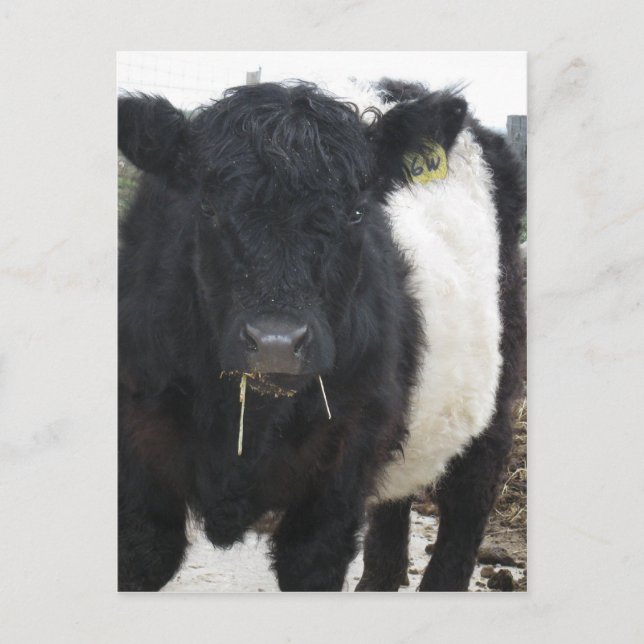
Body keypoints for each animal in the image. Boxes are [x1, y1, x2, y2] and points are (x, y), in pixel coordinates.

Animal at [117, 79, 525, 592]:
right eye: (206, 208)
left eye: (356, 212)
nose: (275, 344)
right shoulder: (137, 450)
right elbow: (145, 553)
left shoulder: (339, 467)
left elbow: (310, 562)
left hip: (496, 395)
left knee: (470, 491)